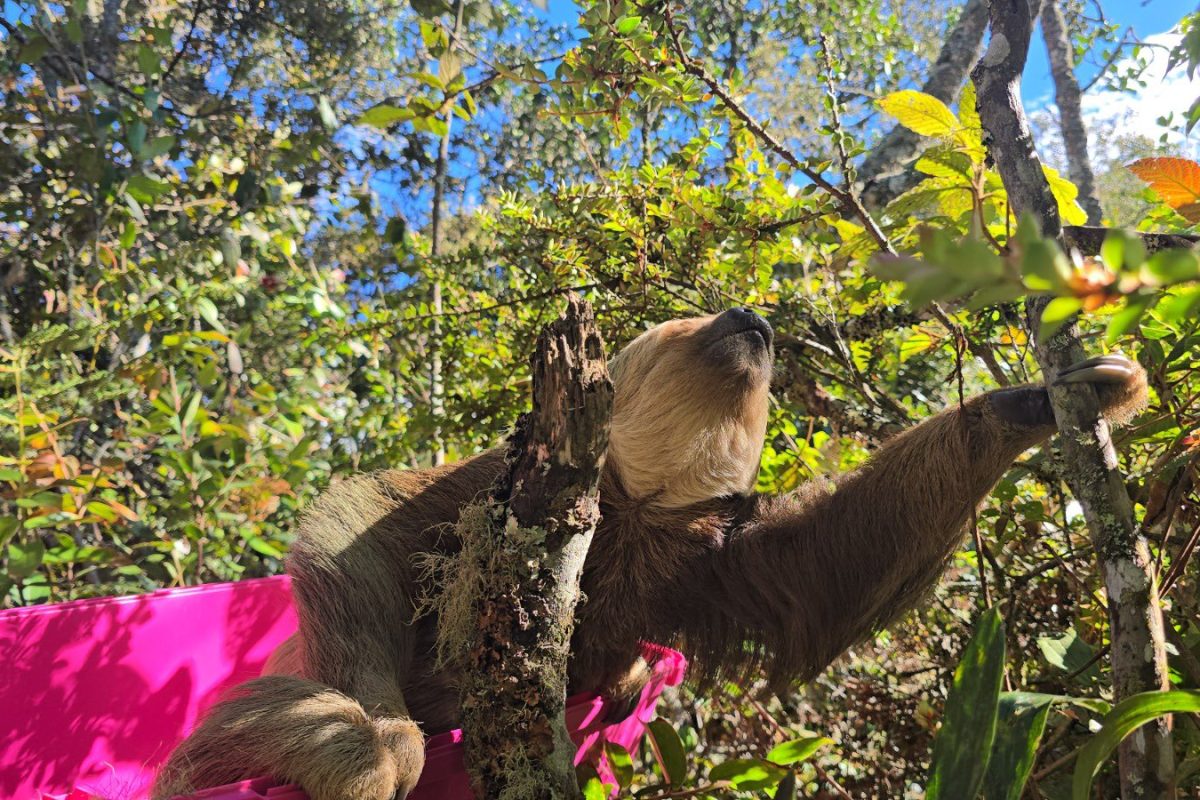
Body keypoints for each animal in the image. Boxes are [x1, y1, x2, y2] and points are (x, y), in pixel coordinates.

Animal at [153, 307, 1148, 800]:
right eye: (693, 325)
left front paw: (1033, 402)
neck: (631, 510)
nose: (752, 316)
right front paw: (375, 733)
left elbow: (828, 568)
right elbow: (360, 519)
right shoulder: (491, 485)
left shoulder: (707, 560)